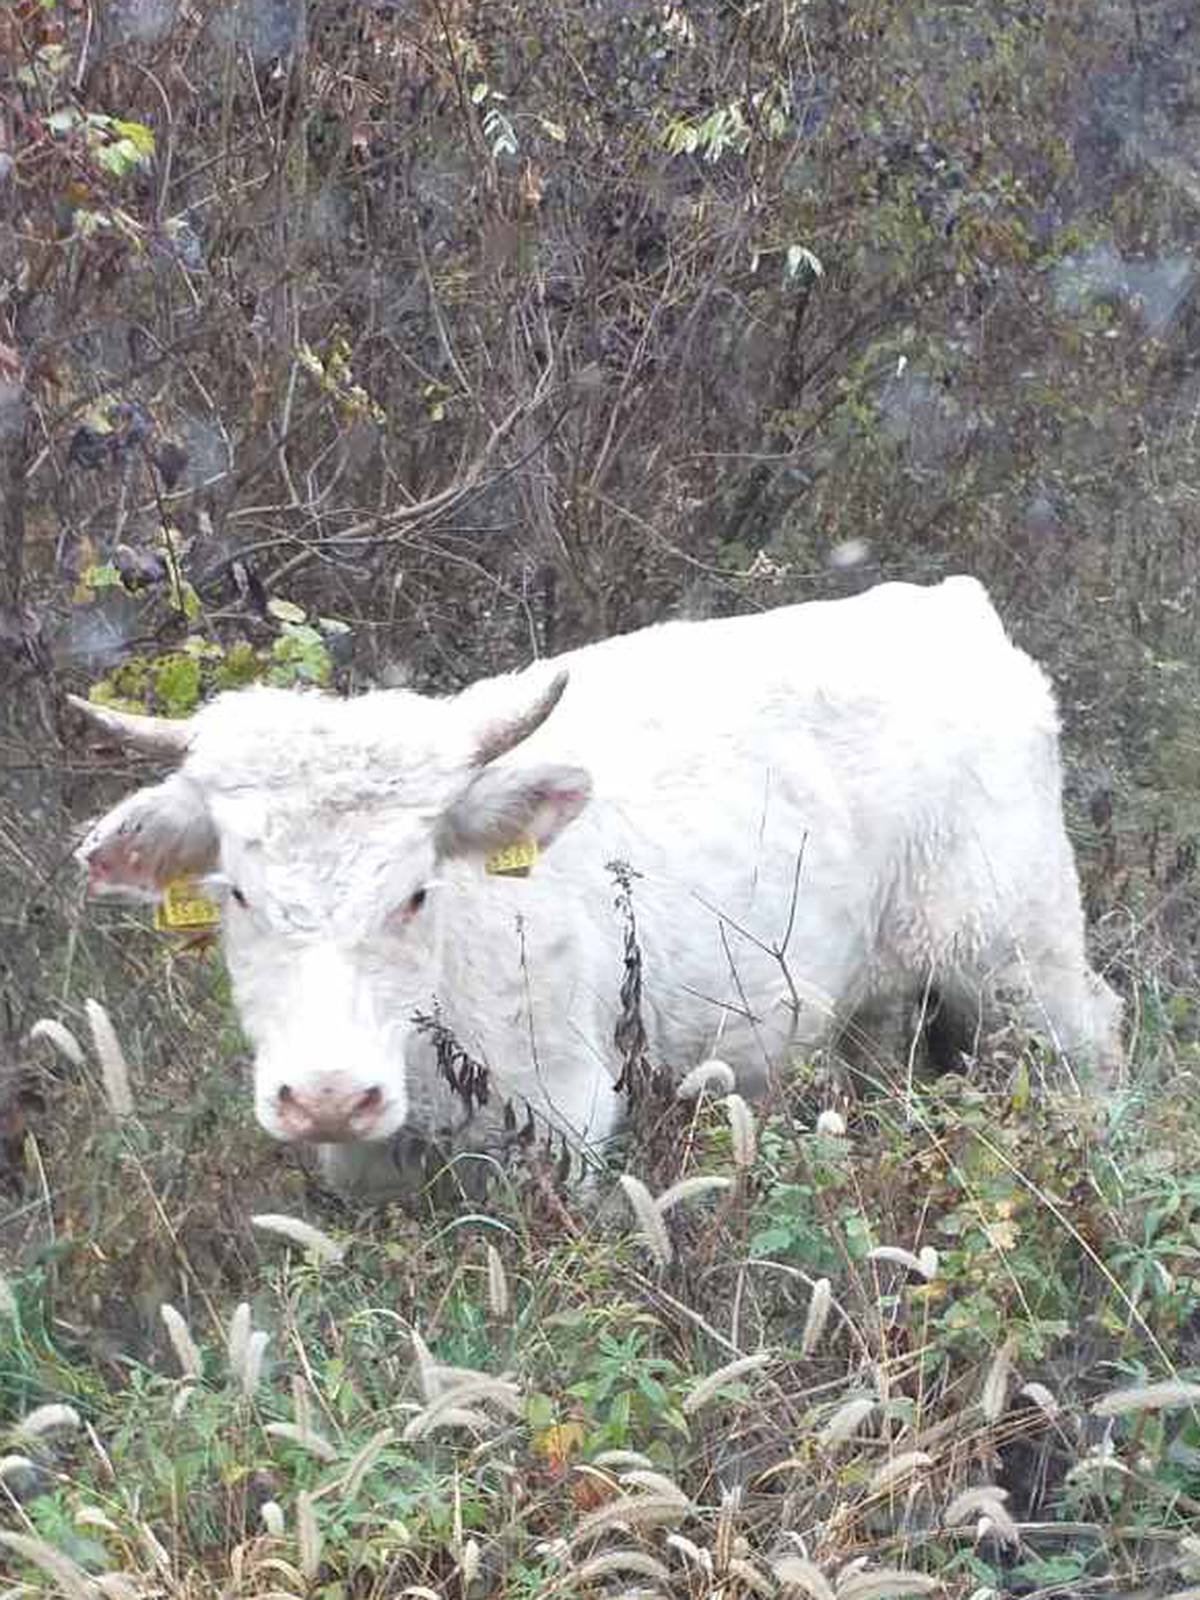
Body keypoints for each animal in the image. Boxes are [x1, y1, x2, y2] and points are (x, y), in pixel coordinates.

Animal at [77, 576, 1126, 1190]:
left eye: (415, 892)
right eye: (239, 895)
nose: (332, 1095)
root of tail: (946, 606)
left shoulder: (568, 1121)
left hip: (1021, 960)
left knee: (1093, 1043)